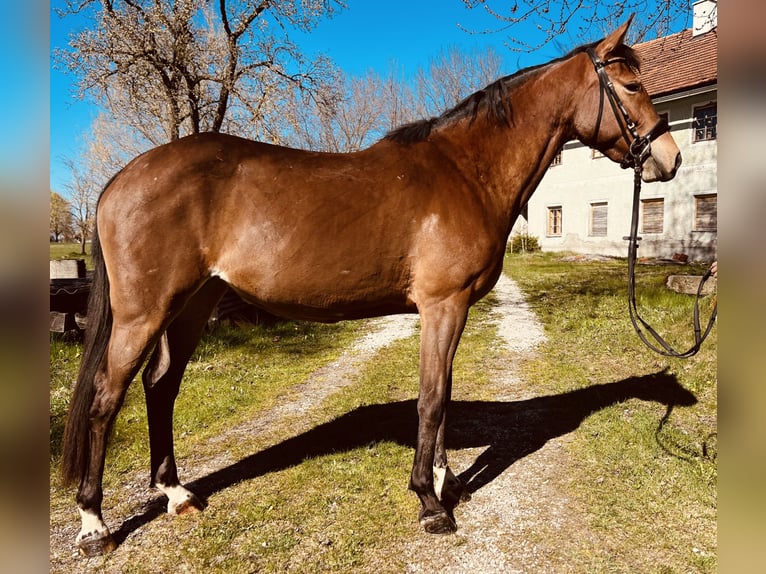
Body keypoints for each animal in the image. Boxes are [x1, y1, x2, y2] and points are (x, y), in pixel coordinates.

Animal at [61, 18, 681, 556]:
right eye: (631, 84)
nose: (669, 159)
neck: (464, 171)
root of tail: (120, 179)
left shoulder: (451, 310)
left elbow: (444, 394)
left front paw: (446, 481)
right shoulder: (443, 305)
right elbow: (431, 398)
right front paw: (430, 503)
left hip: (192, 305)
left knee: (160, 387)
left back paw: (175, 493)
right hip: (144, 313)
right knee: (106, 399)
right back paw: (94, 525)